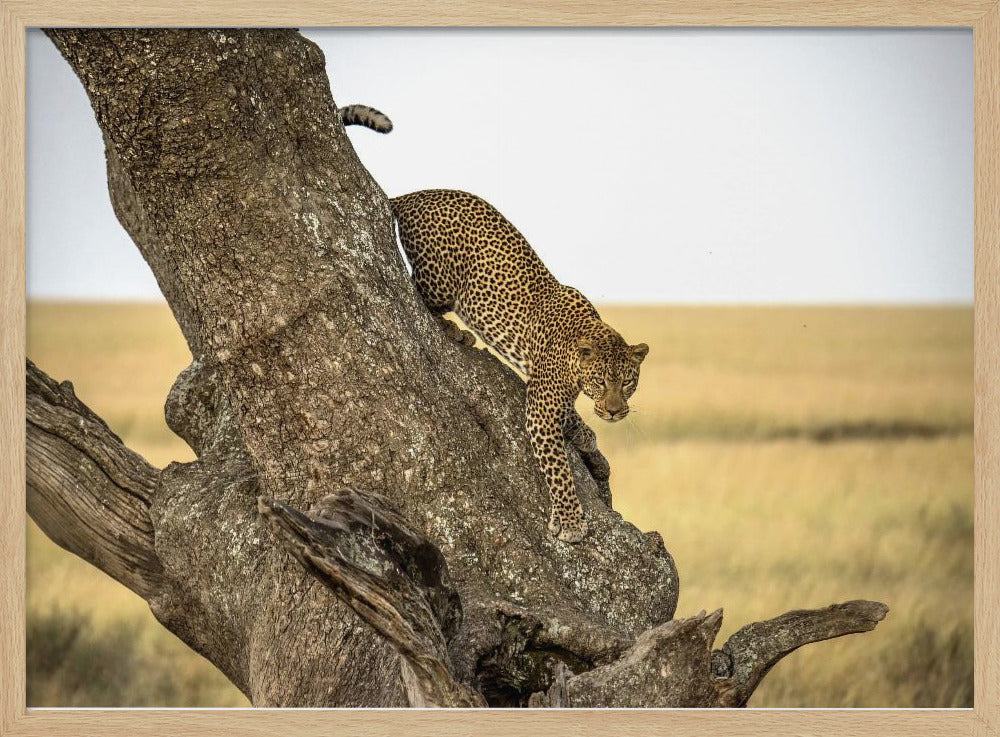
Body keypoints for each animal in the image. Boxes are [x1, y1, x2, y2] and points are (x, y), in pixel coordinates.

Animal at [391, 189, 649, 543]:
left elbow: (573, 417)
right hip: (439, 281)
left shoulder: (547, 391)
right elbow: (558, 469)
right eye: (600, 382)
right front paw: (571, 522)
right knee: (418, 294)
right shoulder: (542, 405)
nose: (614, 412)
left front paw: (585, 437)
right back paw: (456, 331)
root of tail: (411, 196)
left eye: (626, 383)